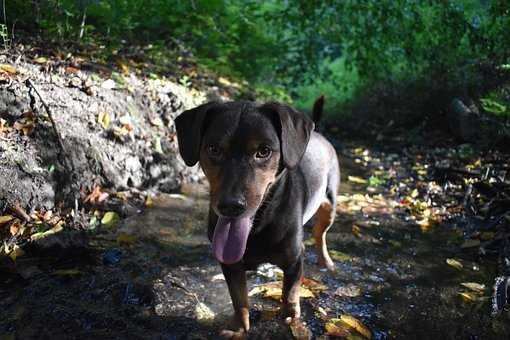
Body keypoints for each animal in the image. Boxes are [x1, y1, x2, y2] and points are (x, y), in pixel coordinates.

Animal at [174, 95, 338, 338]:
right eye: (213, 149)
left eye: (263, 151)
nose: (230, 205)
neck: (258, 226)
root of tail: (318, 133)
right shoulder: (230, 264)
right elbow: (239, 298)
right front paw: (239, 328)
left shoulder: (294, 259)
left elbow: (290, 294)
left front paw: (291, 318)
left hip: (329, 207)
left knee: (320, 235)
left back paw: (326, 261)